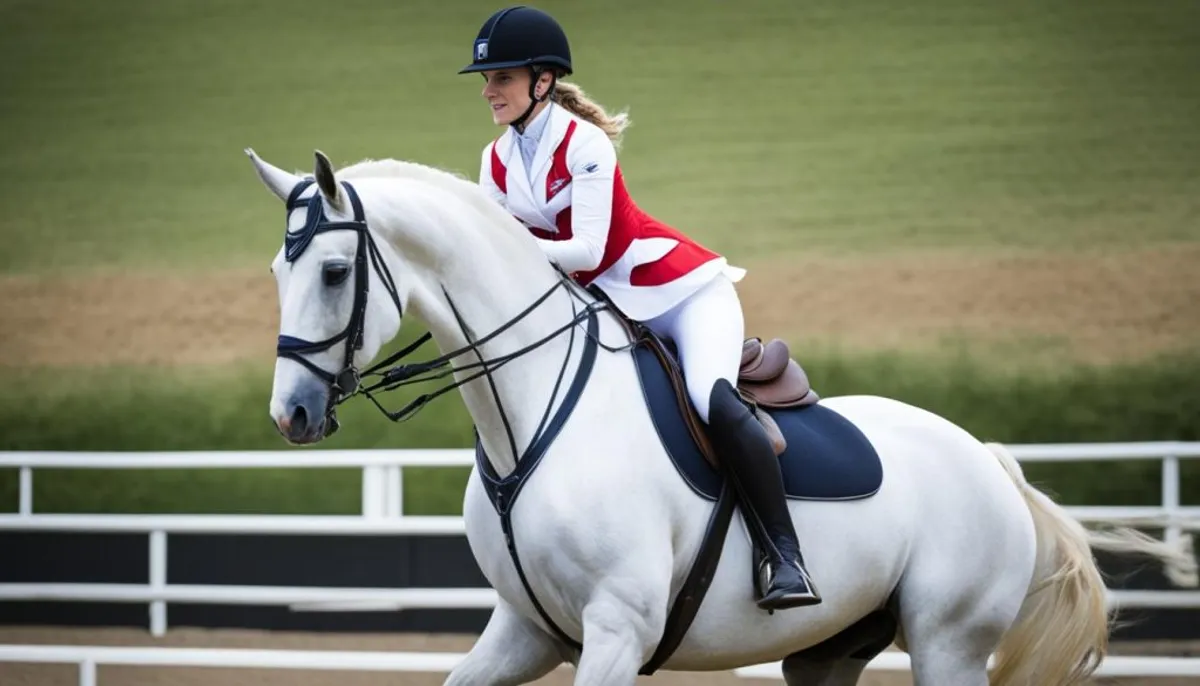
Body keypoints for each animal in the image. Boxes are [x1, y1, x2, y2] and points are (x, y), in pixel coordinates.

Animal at [243, 147, 1190, 681]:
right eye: (277, 271)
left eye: (334, 271)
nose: (292, 414)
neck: (530, 418)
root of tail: (989, 461)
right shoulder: (523, 632)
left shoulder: (617, 632)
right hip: (829, 651)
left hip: (948, 641)